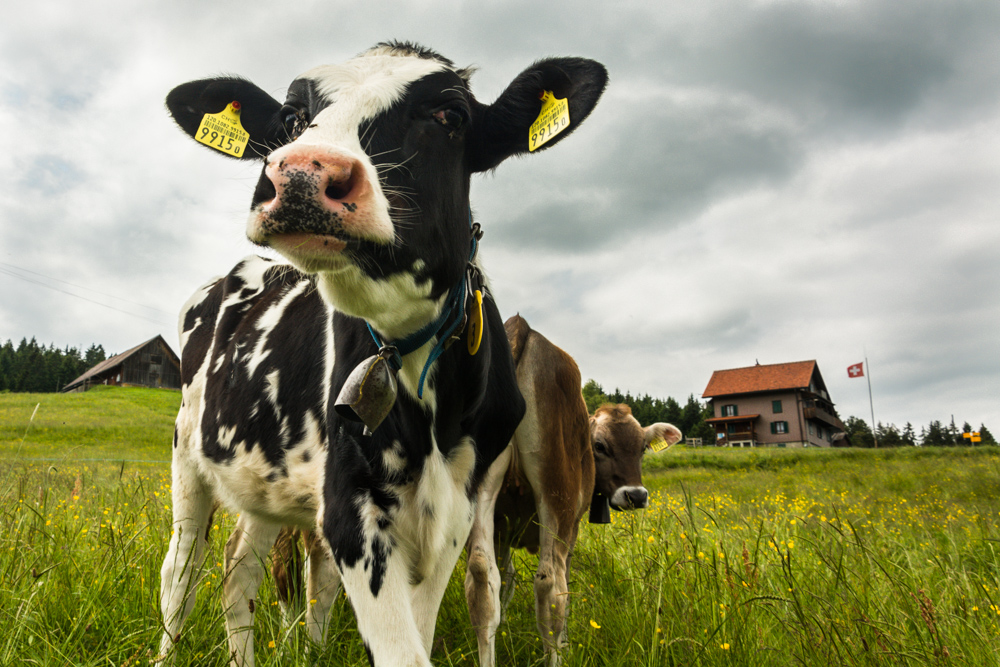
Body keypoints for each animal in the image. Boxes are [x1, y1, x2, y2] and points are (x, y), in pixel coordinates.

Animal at [157, 43, 604, 667]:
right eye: (293, 118)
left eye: (449, 115)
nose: (302, 172)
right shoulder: (350, 510)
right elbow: (402, 650)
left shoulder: (458, 508)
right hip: (187, 457)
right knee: (181, 573)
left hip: (263, 481)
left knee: (238, 568)